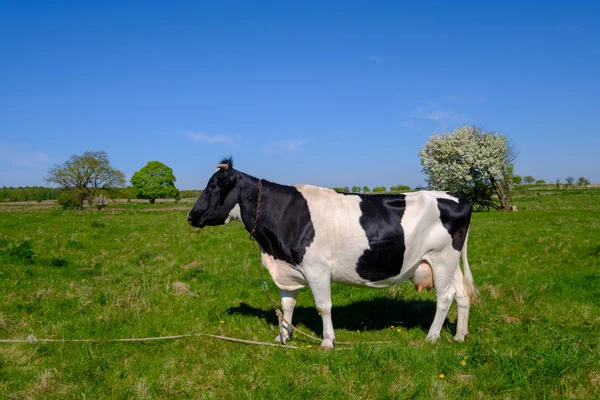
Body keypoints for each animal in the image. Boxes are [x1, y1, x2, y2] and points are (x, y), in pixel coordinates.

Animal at [188, 158, 478, 348]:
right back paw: (459, 335)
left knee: (445, 297)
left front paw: (327, 341)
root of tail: (457, 196)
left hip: (442, 259)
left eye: (212, 188)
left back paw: (432, 337)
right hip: (445, 263)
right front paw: (283, 337)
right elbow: (287, 306)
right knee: (461, 295)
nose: (190, 216)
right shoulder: (287, 269)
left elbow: (323, 306)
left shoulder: (317, 270)